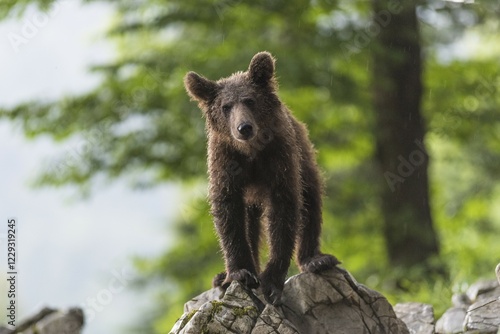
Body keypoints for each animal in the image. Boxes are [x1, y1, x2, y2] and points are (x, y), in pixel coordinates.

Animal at [184, 51, 340, 304]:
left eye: (249, 100)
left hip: (304, 156)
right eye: (226, 106)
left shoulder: (278, 157)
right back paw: (224, 276)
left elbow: (284, 208)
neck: (251, 152)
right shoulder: (226, 161)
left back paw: (315, 259)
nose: (244, 127)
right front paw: (240, 272)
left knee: (310, 198)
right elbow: (228, 212)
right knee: (250, 222)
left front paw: (271, 282)